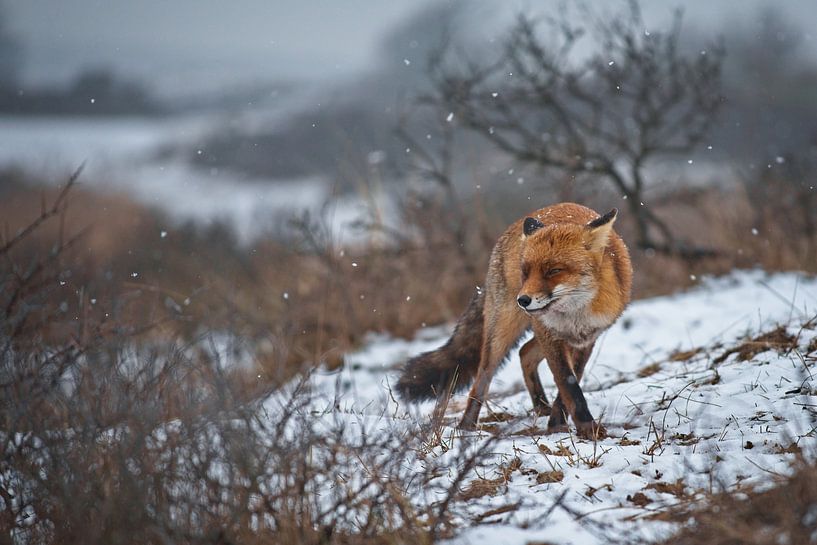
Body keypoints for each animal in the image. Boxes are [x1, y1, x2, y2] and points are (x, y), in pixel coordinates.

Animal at [395, 203, 632, 438]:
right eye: (525, 272)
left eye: (554, 271)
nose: (523, 300)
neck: (574, 315)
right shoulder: (551, 336)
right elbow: (568, 384)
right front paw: (581, 427)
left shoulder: (585, 340)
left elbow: (571, 384)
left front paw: (561, 424)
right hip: (501, 336)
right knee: (482, 378)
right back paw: (467, 427)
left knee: (524, 352)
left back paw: (541, 408)